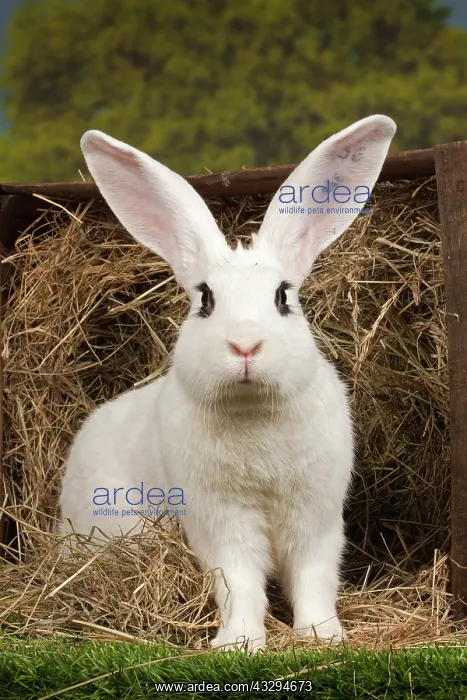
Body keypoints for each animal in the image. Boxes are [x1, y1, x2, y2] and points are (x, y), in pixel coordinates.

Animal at [59, 114, 396, 652]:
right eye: (206, 300)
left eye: (283, 297)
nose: (244, 345)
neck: (252, 410)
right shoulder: (218, 518)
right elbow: (237, 579)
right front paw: (238, 642)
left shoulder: (316, 514)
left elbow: (314, 575)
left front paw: (323, 635)